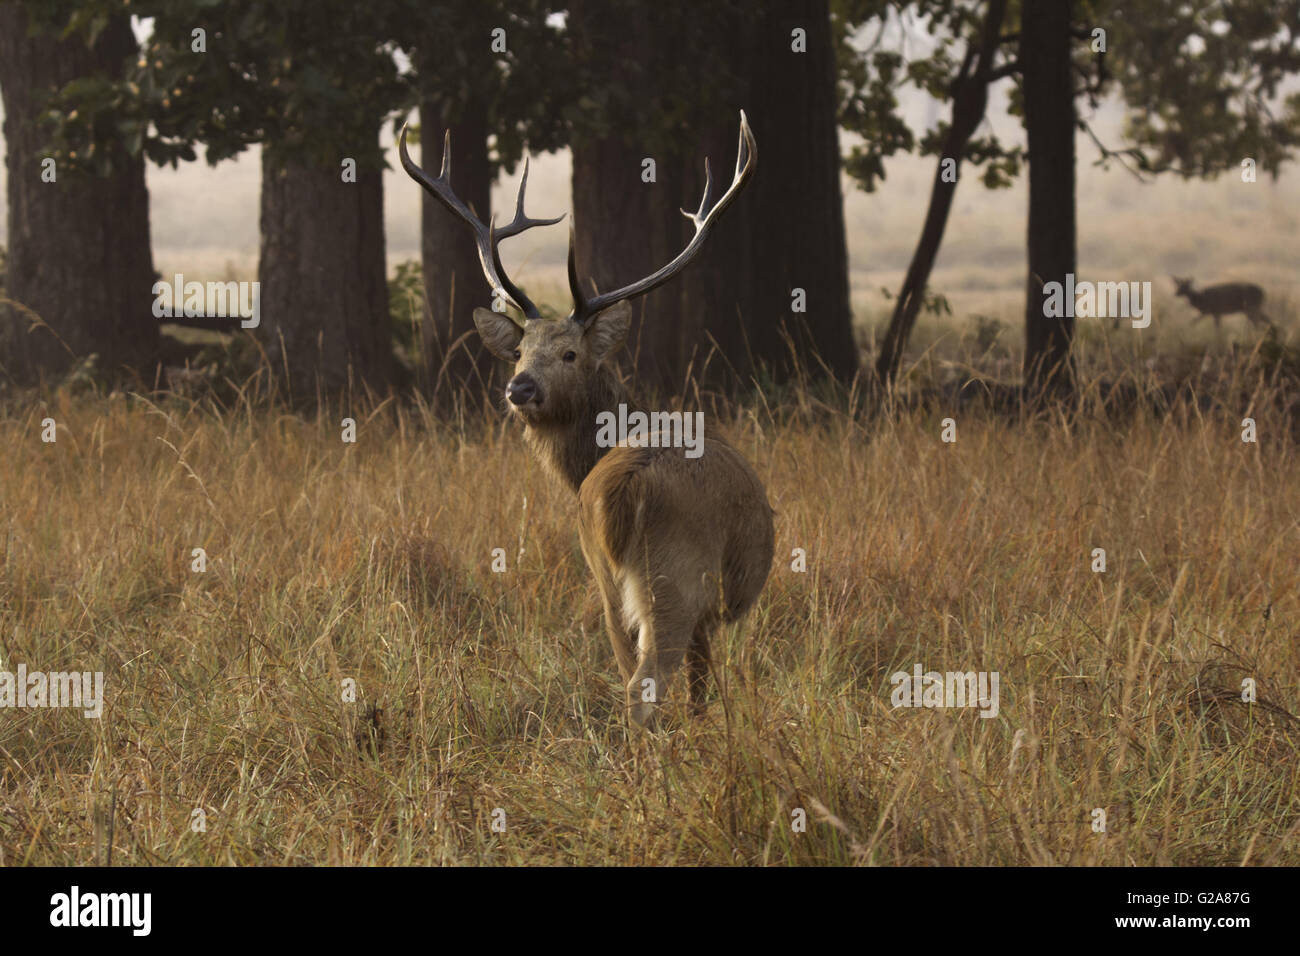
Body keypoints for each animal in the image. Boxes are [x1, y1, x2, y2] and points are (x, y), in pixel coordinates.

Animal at [397, 111, 769, 723]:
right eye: (520, 352)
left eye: (569, 354)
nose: (519, 387)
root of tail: (627, 486)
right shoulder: (706, 613)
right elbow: (700, 686)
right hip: (676, 578)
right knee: (644, 685)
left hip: (604, 576)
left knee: (625, 672)